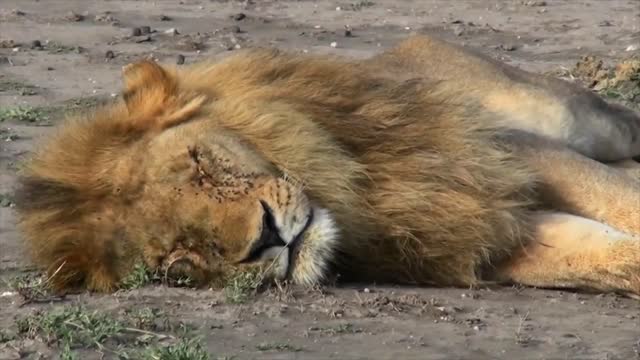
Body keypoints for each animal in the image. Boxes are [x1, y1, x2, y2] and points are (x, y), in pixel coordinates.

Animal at [13, 35, 640, 296]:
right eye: (177, 261)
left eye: (200, 164)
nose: (268, 237)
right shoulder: (486, 235)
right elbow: (605, 257)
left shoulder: (504, 155)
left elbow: (619, 201)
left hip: (572, 117)